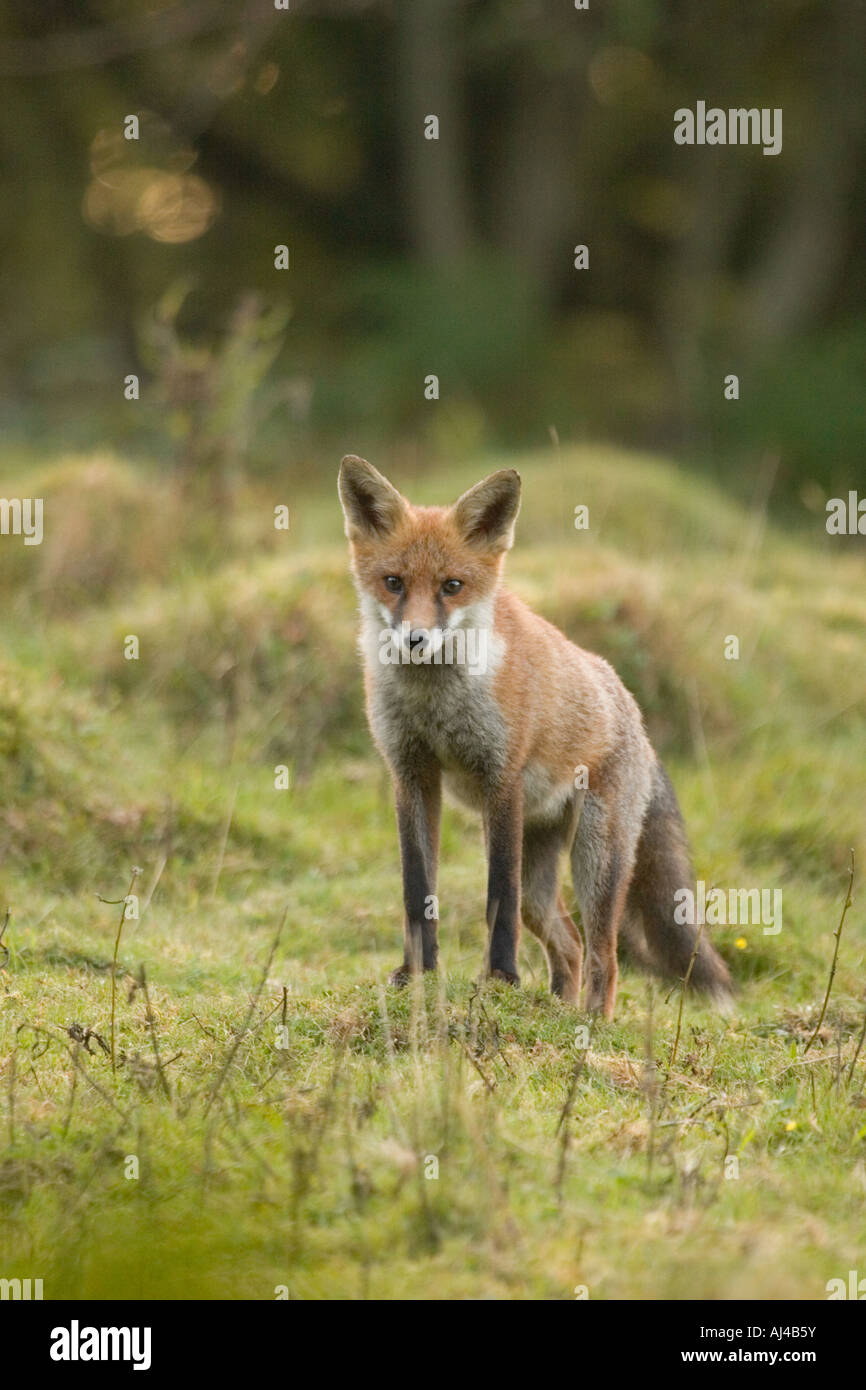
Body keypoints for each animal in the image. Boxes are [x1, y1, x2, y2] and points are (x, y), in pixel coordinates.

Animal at [339, 461, 733, 1017]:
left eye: (452, 586)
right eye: (393, 582)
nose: (415, 640)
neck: (436, 702)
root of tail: (633, 714)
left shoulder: (502, 776)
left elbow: (497, 893)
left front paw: (501, 978)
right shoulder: (411, 775)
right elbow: (418, 889)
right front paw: (416, 974)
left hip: (596, 861)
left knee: (605, 956)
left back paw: (592, 1025)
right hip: (541, 877)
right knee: (569, 944)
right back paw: (557, 1012)